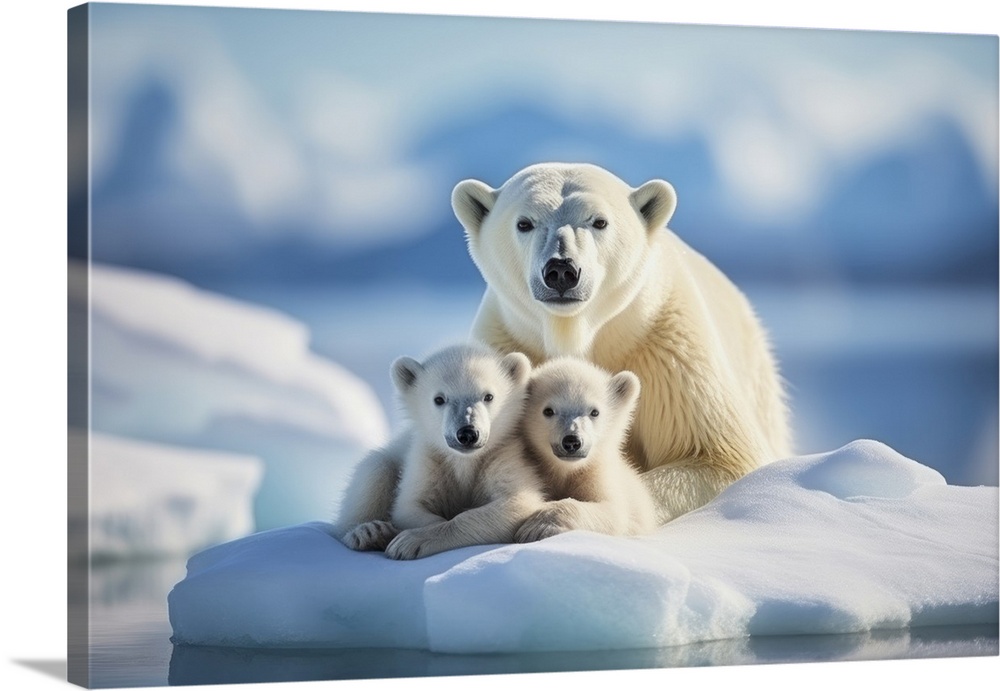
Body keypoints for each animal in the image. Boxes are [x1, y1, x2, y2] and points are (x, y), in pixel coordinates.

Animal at [336, 344, 544, 560]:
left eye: (488, 396)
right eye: (439, 399)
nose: (467, 433)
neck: (464, 461)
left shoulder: (502, 454)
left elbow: (516, 502)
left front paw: (409, 541)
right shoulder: (429, 459)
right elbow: (409, 506)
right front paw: (399, 536)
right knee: (375, 470)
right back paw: (368, 532)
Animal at [452, 162, 788, 520]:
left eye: (599, 221)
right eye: (524, 223)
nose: (561, 270)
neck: (577, 334)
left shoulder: (667, 354)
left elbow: (721, 456)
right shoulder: (506, 344)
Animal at [516, 356, 656, 548]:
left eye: (594, 412)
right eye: (548, 410)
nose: (572, 441)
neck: (565, 470)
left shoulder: (597, 474)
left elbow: (613, 512)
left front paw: (536, 527)